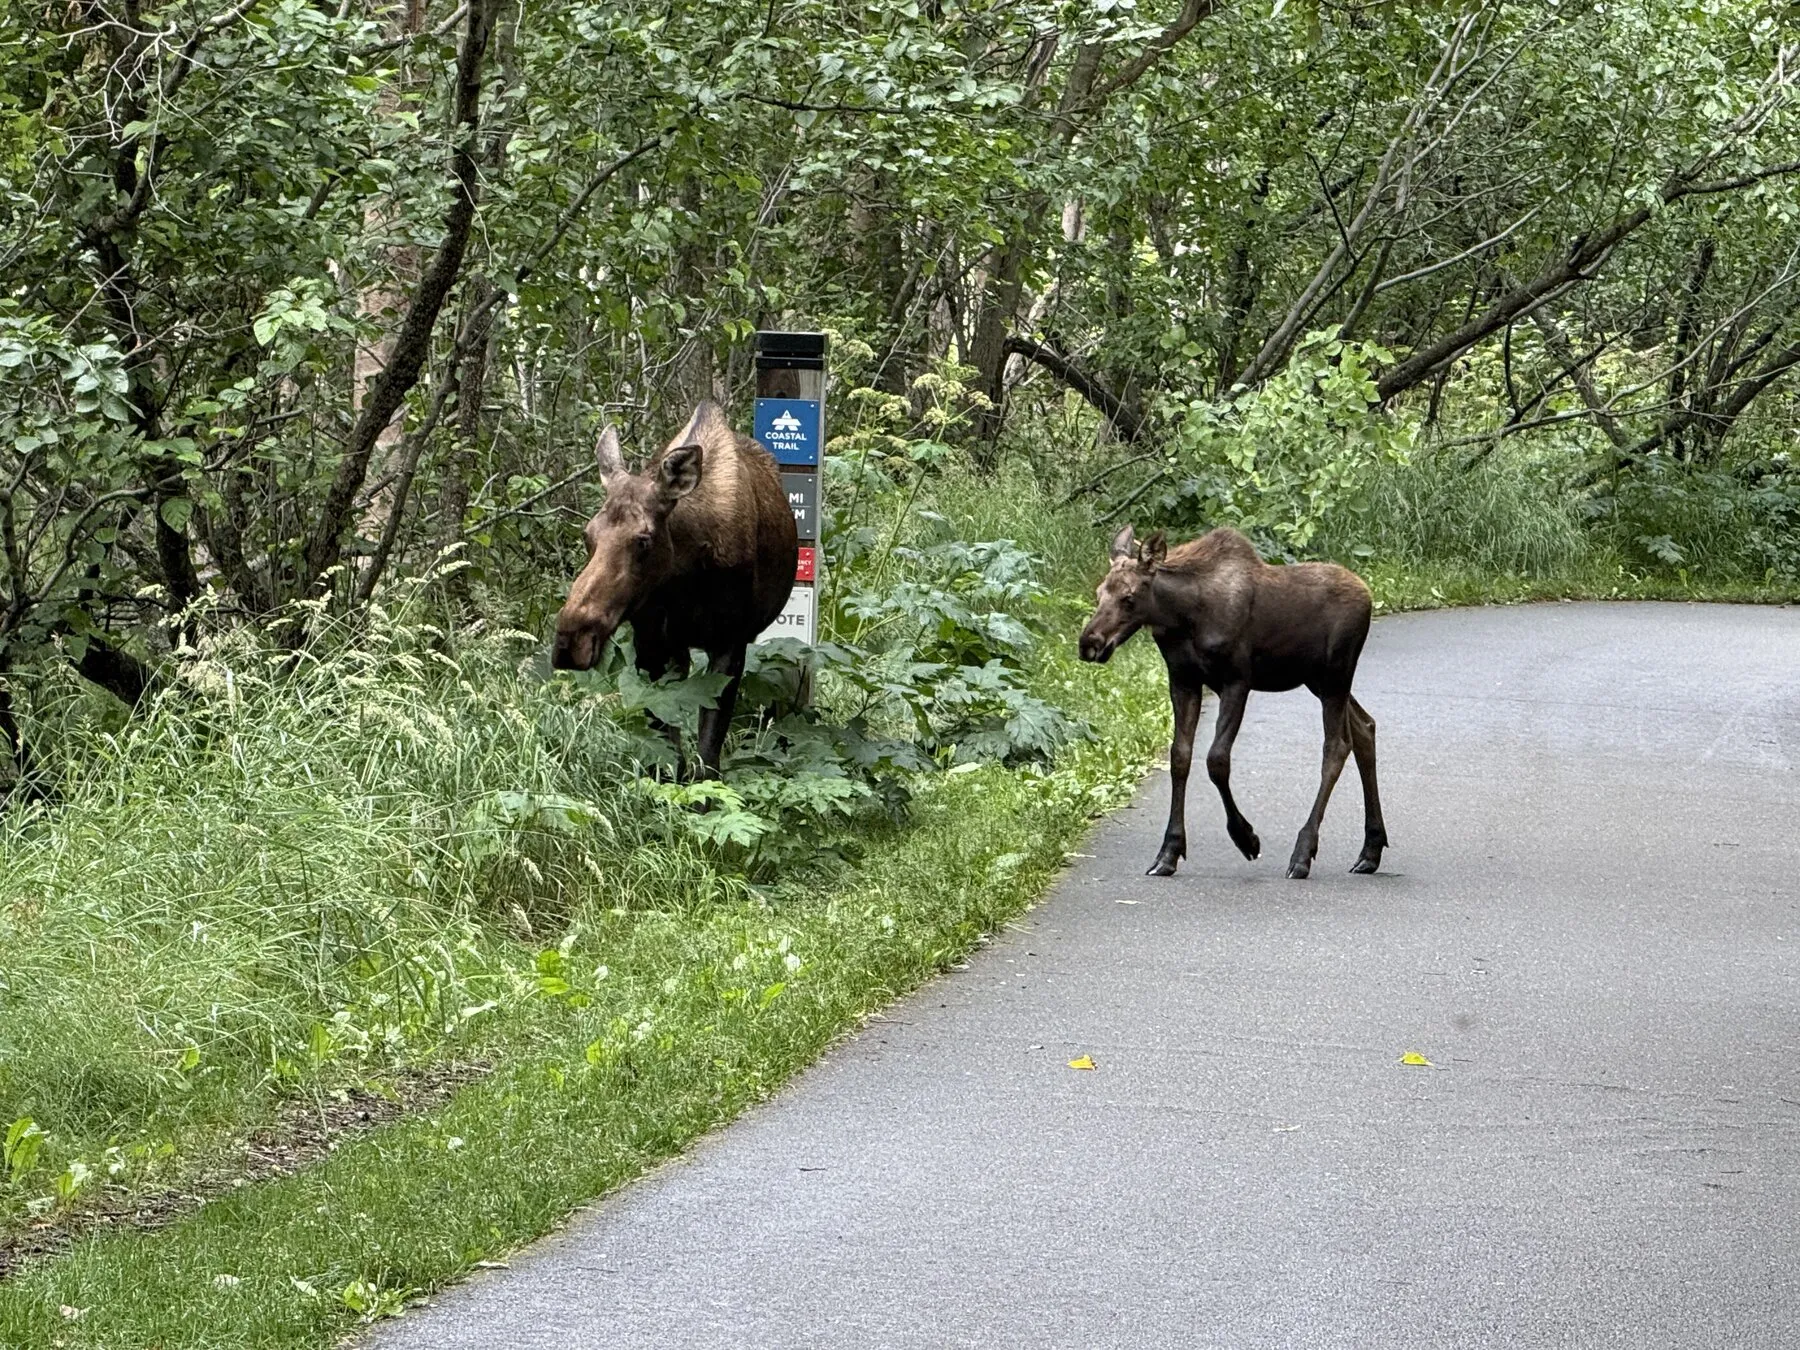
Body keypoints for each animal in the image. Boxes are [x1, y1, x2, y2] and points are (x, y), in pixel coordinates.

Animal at [551, 401, 799, 778]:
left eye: (644, 539)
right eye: (587, 534)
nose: (572, 640)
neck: (686, 571)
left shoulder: (730, 642)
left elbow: (707, 758)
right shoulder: (651, 644)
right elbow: (667, 752)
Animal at [1078, 525, 1387, 881]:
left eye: (1128, 598)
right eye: (1099, 592)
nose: (1088, 643)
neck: (1182, 617)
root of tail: (1368, 594)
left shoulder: (1237, 681)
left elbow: (1216, 760)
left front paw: (1246, 838)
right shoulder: (1183, 680)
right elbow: (1180, 757)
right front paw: (1169, 851)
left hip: (1336, 674)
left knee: (1336, 746)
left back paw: (1303, 854)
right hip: (1318, 680)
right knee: (1365, 727)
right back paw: (1370, 850)